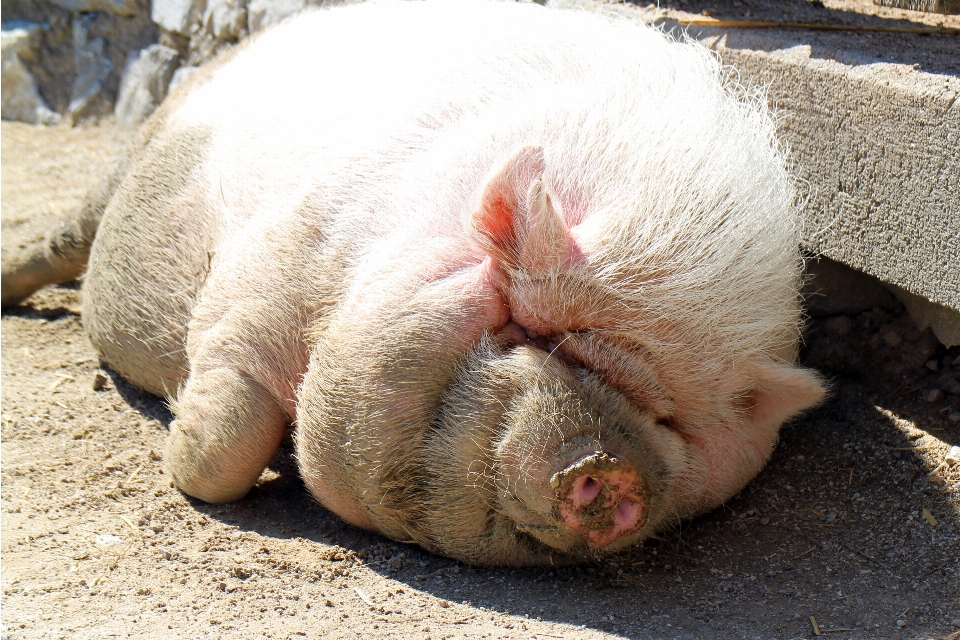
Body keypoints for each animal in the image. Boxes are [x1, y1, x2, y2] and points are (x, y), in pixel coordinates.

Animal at [1, 0, 824, 564]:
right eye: (530, 333)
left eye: (669, 418)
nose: (614, 471)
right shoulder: (266, 280)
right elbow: (223, 449)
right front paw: (180, 457)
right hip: (132, 155)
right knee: (68, 235)